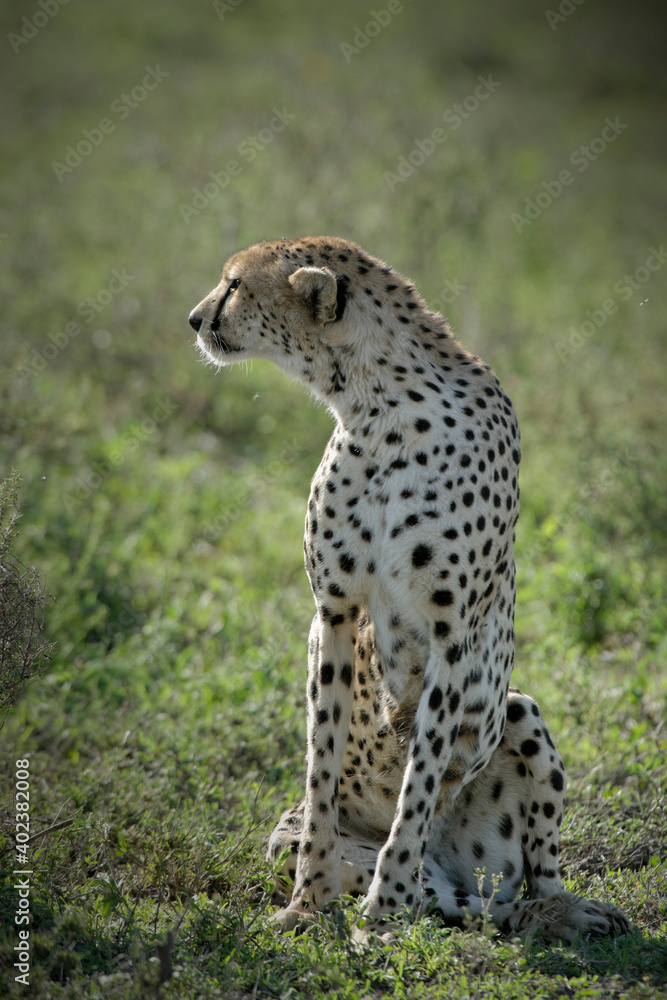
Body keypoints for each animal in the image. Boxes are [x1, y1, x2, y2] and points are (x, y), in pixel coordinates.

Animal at [188, 235, 630, 943]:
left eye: (234, 285)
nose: (196, 320)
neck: (375, 404)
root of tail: (451, 866)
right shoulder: (334, 612)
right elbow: (322, 761)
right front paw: (308, 904)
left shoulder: (453, 635)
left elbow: (419, 782)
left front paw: (383, 912)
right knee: (469, 905)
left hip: (519, 711)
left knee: (515, 886)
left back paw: (562, 910)